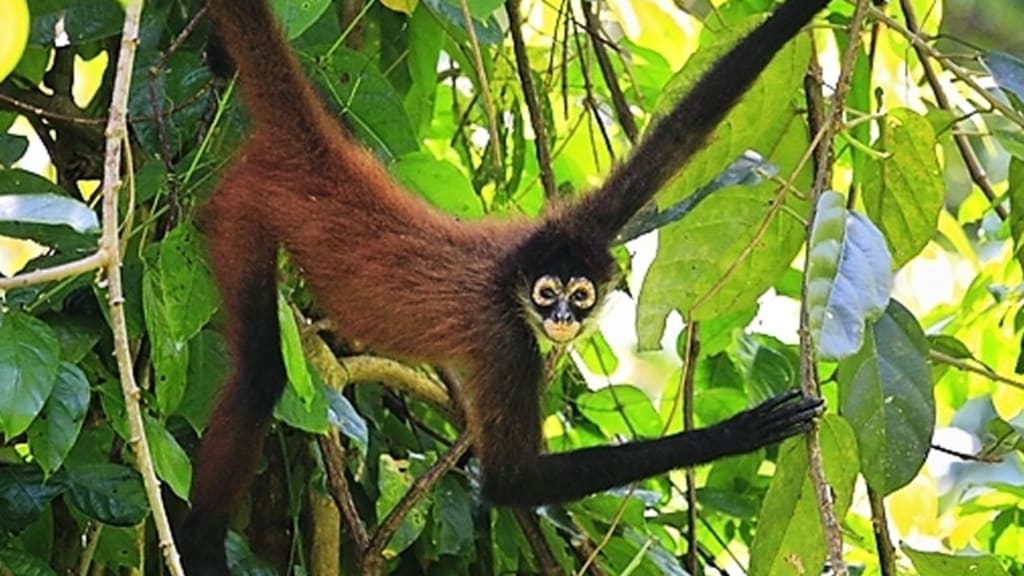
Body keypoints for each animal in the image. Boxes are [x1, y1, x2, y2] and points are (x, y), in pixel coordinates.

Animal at [181, 0, 830, 573]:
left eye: (580, 295)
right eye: (547, 294)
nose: (563, 318)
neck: (507, 279)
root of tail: (318, 155)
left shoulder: (582, 226)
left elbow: (682, 132)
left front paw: (799, 15)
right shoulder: (507, 340)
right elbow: (510, 481)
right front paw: (737, 432)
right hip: (244, 210)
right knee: (261, 370)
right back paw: (200, 546)